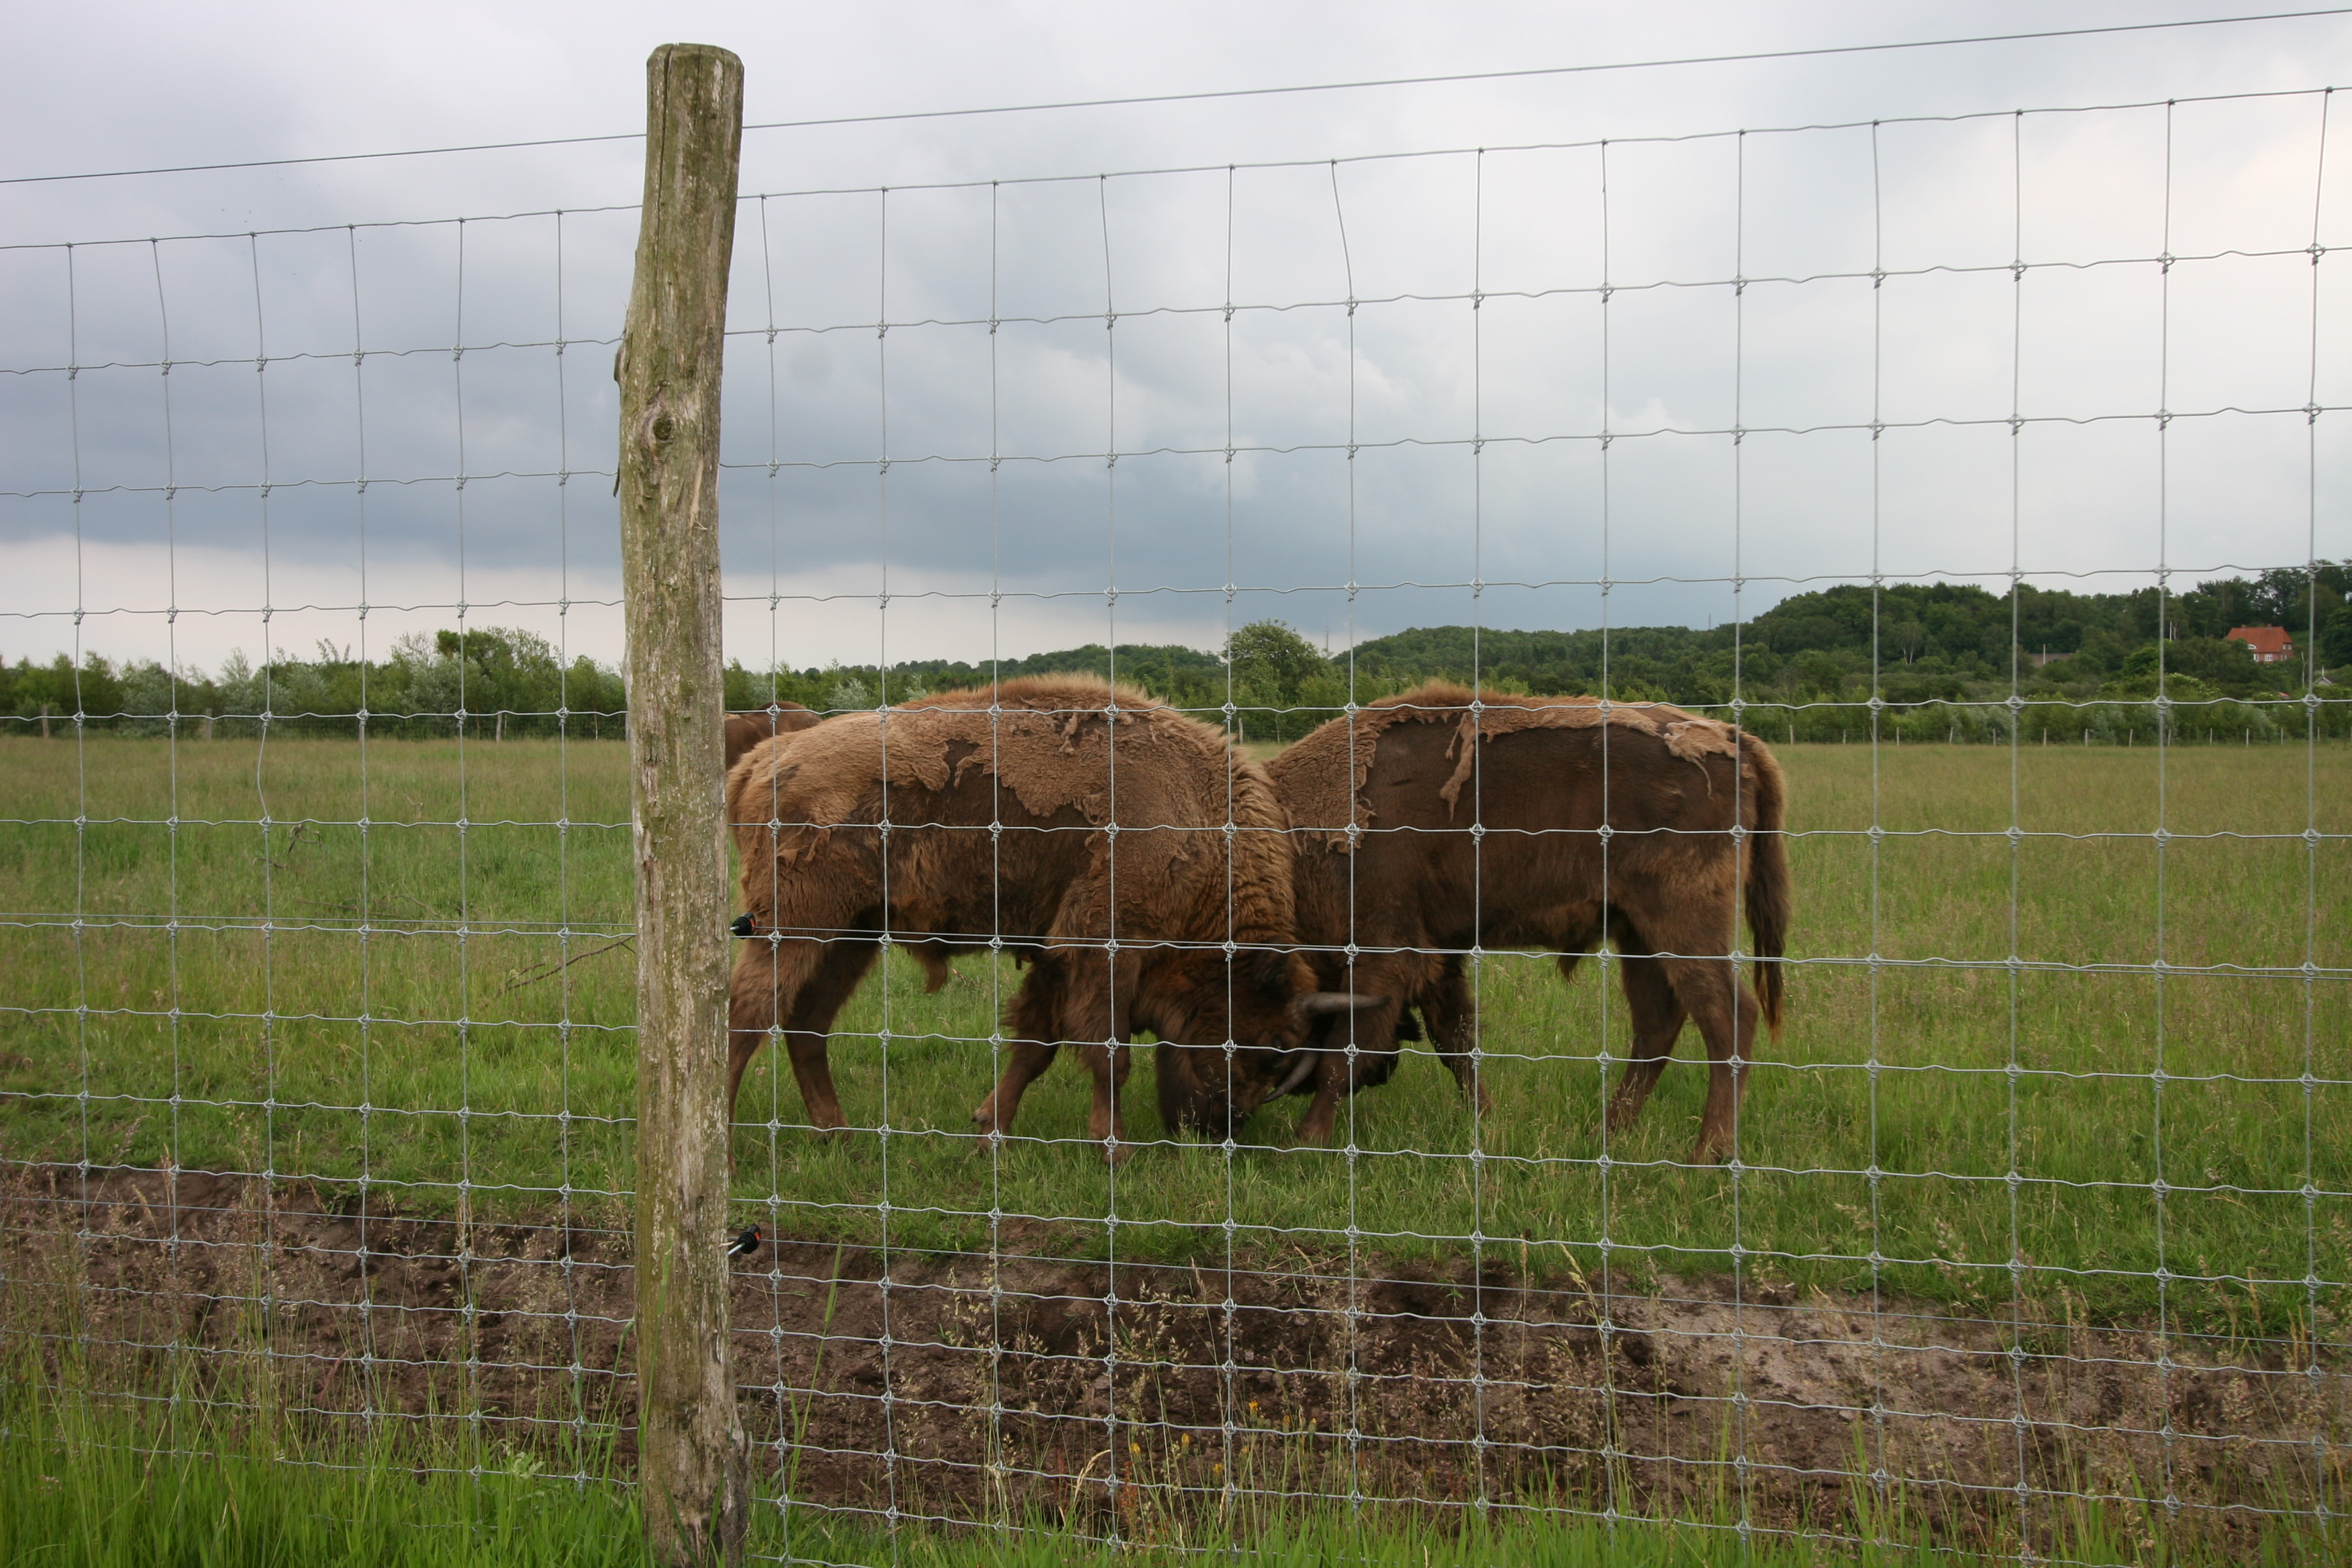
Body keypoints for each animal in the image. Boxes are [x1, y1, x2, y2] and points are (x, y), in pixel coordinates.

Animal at [724, 677, 1373, 1152]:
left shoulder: (1055, 955)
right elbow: (1108, 1053)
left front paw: (991, 1132)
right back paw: (729, 1150)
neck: (1196, 815)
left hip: (852, 933)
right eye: (1268, 1045)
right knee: (747, 1016)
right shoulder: (1107, 950)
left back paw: (838, 1133)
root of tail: (761, 760)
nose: (1221, 1126)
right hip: (795, 925)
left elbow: (1036, 1047)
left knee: (806, 1022)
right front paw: (1112, 1149)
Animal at [1279, 686, 1787, 1166]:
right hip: (1638, 934)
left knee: (1727, 1017)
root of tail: (1734, 737)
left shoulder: (1384, 952)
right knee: (1657, 1023)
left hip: (1682, 920)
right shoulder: (1438, 954)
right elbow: (1454, 1040)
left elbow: (1347, 1047)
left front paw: (1306, 1139)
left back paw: (1706, 1154)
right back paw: (1606, 1132)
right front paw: (1484, 1119)